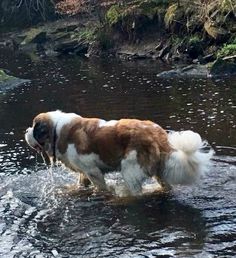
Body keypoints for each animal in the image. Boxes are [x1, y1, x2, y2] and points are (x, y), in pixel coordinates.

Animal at [24, 110, 214, 195]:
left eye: (34, 127)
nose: (26, 131)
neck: (57, 130)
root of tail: (157, 135)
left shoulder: (93, 171)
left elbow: (100, 187)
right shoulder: (84, 171)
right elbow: (81, 182)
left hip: (130, 169)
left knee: (137, 192)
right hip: (158, 171)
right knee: (166, 186)